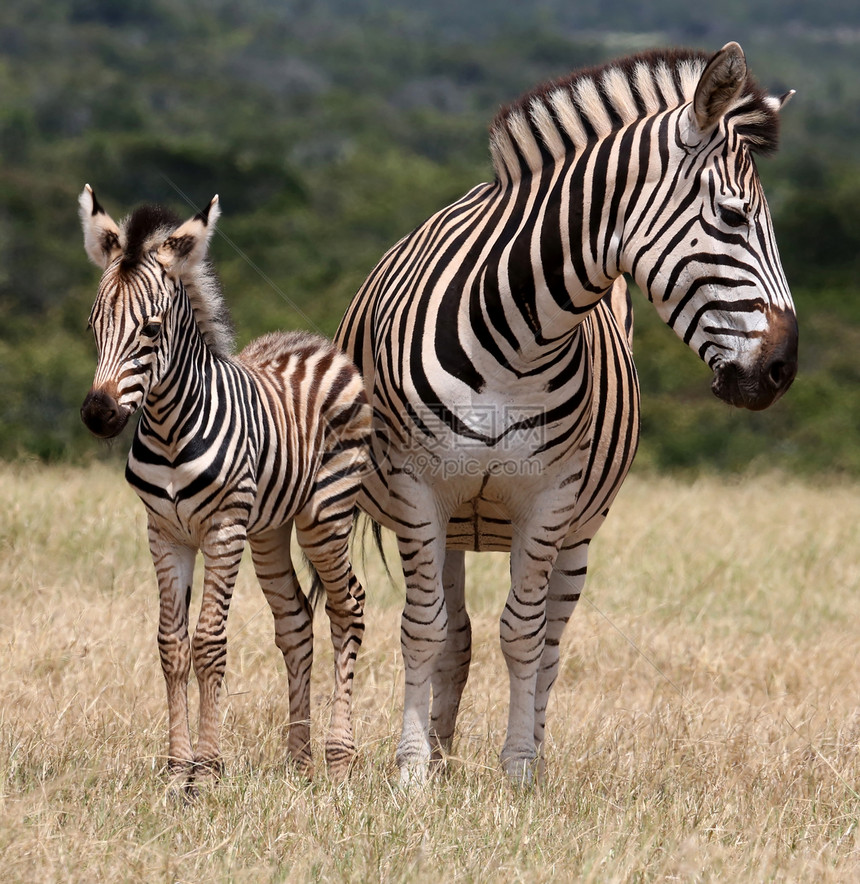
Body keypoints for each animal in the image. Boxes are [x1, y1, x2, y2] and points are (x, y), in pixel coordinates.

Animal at [80, 186, 372, 780]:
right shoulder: (164, 533)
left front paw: (208, 768)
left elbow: (210, 641)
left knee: (348, 607)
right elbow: (172, 645)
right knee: (295, 621)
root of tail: (318, 344)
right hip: (269, 530)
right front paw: (176, 767)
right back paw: (299, 759)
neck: (170, 430)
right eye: (94, 324)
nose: (97, 415)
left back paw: (338, 756)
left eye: (150, 330)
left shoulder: (223, 528)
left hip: (324, 516)